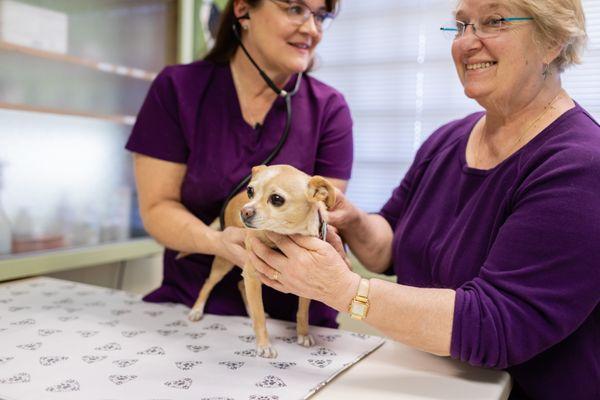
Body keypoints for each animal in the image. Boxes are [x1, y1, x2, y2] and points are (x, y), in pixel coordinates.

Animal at [185, 164, 336, 358]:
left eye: (277, 199)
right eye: (250, 191)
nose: (244, 211)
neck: (284, 237)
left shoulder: (306, 284)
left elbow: (302, 312)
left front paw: (303, 334)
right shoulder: (252, 276)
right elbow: (260, 319)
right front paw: (264, 345)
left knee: (240, 285)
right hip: (225, 263)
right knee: (208, 283)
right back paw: (197, 310)